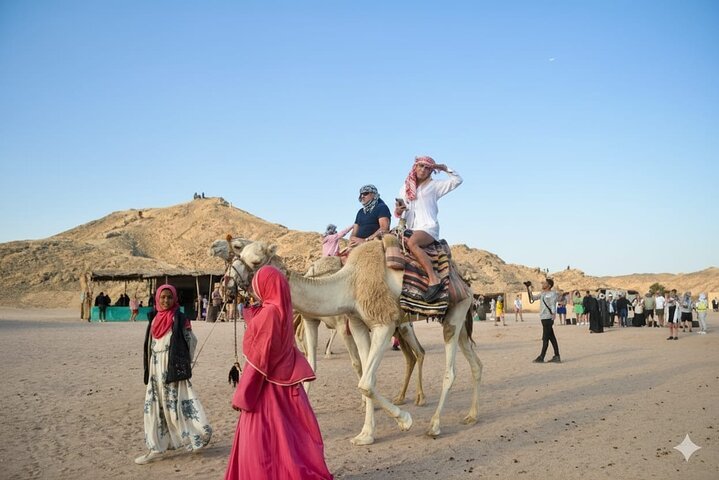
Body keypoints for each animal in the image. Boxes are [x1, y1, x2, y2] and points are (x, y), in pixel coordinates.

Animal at [225, 235, 482, 445]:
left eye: (256, 261)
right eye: (240, 253)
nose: (227, 284)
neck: (349, 283)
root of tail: (463, 280)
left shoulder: (382, 322)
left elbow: (365, 382)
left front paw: (404, 420)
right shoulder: (357, 324)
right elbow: (368, 378)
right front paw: (366, 434)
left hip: (451, 314)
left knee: (448, 370)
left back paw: (434, 425)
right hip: (453, 320)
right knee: (474, 362)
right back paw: (470, 415)